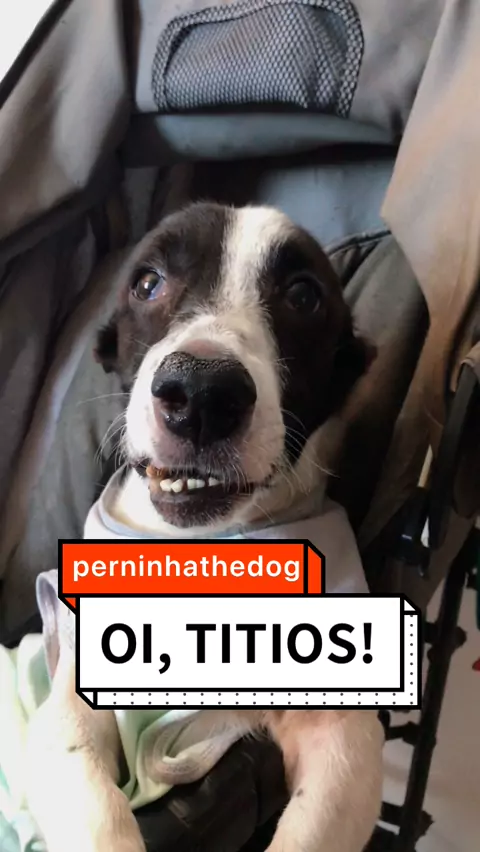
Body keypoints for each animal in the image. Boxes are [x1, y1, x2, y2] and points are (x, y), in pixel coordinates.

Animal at [25, 203, 384, 852]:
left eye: (303, 295)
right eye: (147, 283)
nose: (200, 392)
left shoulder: (344, 736)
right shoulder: (67, 710)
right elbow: (90, 796)